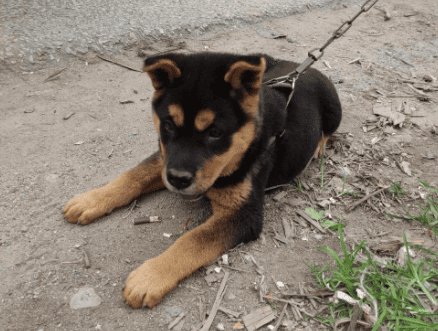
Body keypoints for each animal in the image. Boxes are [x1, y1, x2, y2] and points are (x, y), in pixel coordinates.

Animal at [62, 52, 342, 308]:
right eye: (168, 125)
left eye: (215, 133)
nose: (177, 180)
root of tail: (303, 68)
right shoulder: (166, 158)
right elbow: (134, 175)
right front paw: (91, 200)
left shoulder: (244, 213)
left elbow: (193, 240)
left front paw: (150, 277)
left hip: (334, 111)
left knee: (329, 131)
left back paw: (319, 146)